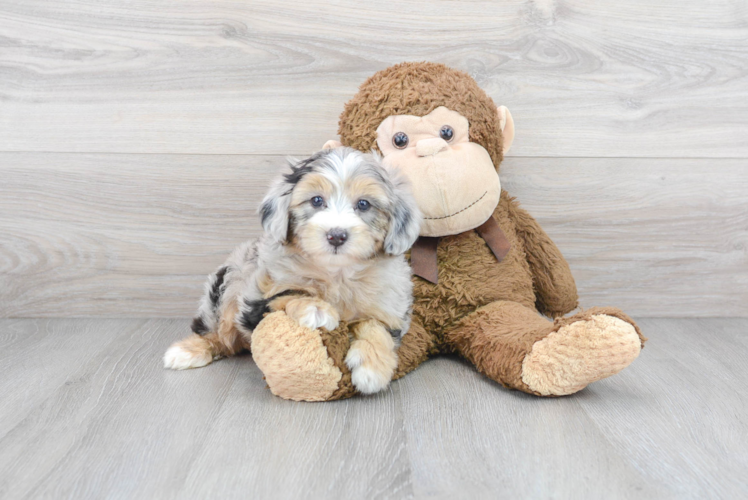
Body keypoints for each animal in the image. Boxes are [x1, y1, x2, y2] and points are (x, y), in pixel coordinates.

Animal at [163, 147, 420, 394]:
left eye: (364, 204)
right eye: (316, 200)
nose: (336, 235)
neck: (337, 273)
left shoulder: (390, 306)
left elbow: (377, 327)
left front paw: (371, 369)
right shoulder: (255, 297)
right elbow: (289, 293)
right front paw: (316, 308)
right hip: (228, 280)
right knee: (218, 332)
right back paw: (187, 351)